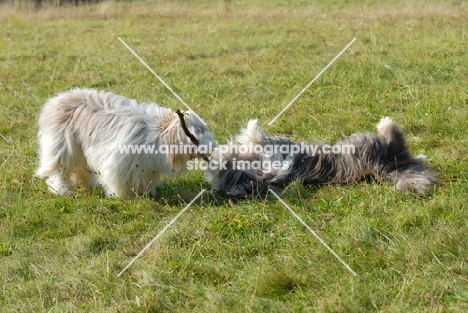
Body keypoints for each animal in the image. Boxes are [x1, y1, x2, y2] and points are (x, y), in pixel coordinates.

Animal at [36, 87, 216, 195]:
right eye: (197, 133)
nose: (214, 147)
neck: (158, 134)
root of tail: (55, 101)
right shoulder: (119, 162)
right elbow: (119, 181)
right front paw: (121, 196)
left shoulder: (147, 166)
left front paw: (145, 193)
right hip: (61, 147)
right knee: (56, 171)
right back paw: (62, 190)